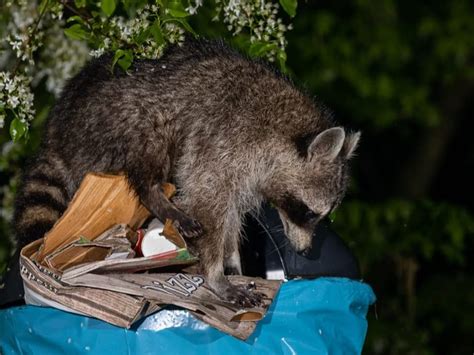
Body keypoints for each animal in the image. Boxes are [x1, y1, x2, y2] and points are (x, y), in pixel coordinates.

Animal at [13, 38, 360, 306]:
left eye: (323, 215)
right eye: (310, 212)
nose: (306, 251)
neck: (281, 126)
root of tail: (56, 132)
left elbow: (231, 214)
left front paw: (232, 261)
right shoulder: (225, 142)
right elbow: (209, 202)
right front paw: (215, 274)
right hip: (114, 120)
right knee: (149, 141)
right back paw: (156, 196)